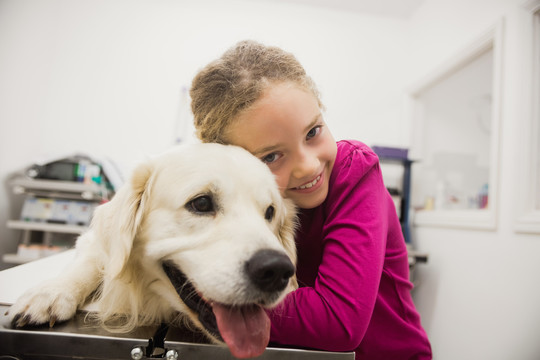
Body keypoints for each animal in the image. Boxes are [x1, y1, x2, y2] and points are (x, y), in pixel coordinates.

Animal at [8, 142, 298, 358]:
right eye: (202, 203)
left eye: (269, 213)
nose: (277, 271)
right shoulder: (92, 242)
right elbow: (88, 263)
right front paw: (50, 294)